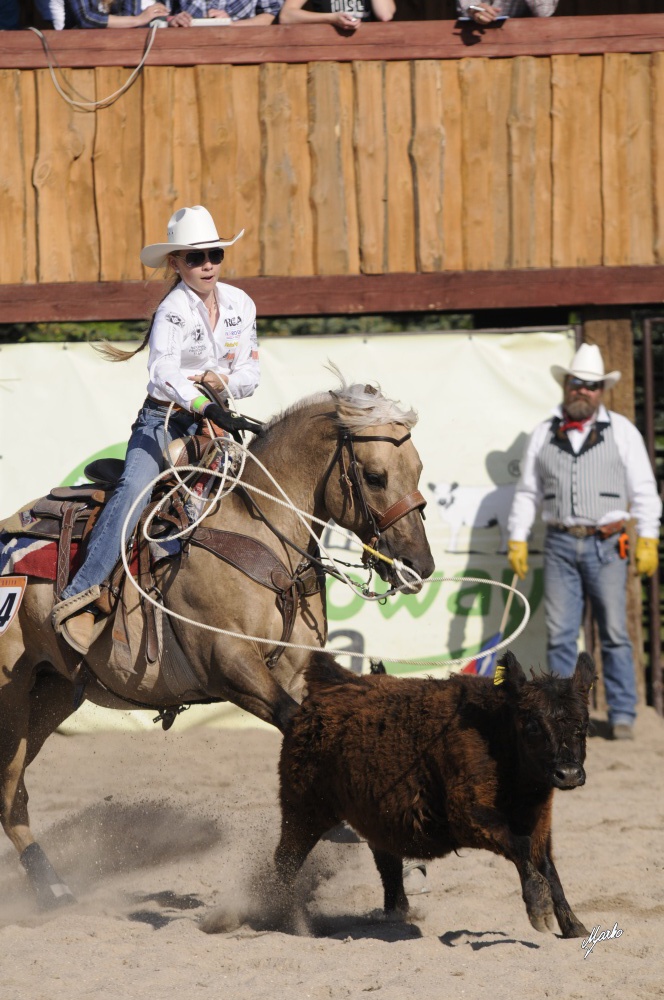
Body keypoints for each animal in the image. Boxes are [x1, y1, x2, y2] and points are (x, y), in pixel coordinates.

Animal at [1, 376, 436, 908]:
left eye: (418, 469)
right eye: (374, 476)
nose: (419, 565)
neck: (261, 534)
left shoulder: (295, 670)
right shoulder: (230, 666)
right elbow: (298, 726)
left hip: (52, 692)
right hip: (12, 692)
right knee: (10, 792)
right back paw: (53, 887)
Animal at [272, 648, 592, 936]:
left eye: (584, 724)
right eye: (533, 724)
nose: (568, 774)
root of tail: (330, 685)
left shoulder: (540, 821)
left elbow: (547, 865)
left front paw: (573, 924)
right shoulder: (468, 817)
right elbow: (520, 847)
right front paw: (539, 906)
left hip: (373, 816)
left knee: (386, 860)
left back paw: (397, 911)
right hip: (303, 809)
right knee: (285, 861)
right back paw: (291, 921)